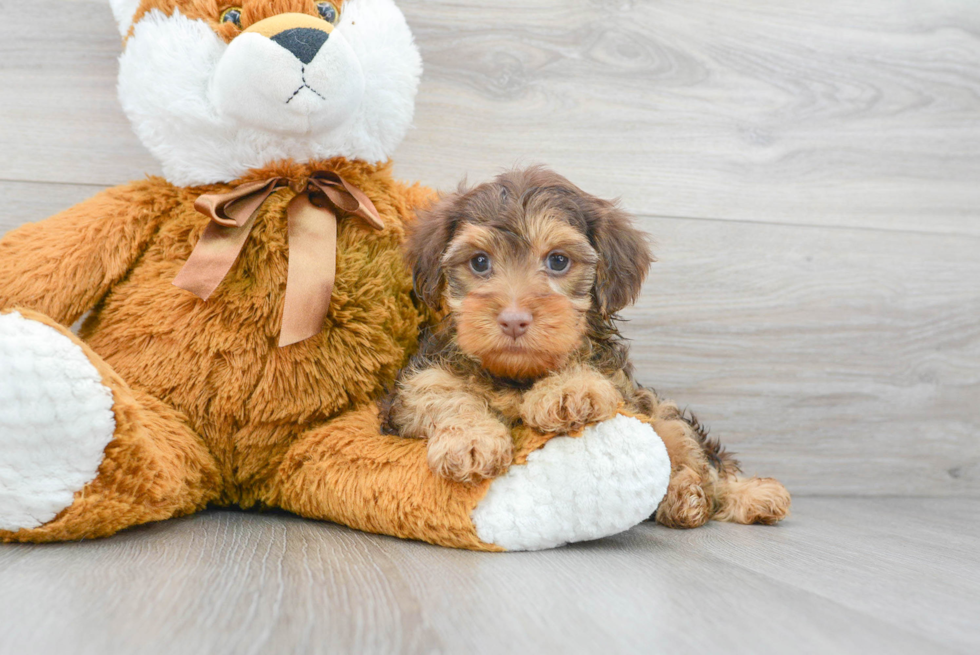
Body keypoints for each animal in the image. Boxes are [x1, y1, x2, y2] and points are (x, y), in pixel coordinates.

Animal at [378, 168, 792, 528]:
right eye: (480, 262)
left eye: (558, 260)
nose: (513, 319)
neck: (517, 376)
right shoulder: (414, 388)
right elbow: (439, 393)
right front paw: (470, 440)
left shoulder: (620, 383)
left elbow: (589, 369)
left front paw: (567, 390)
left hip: (659, 411)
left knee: (698, 457)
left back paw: (735, 495)